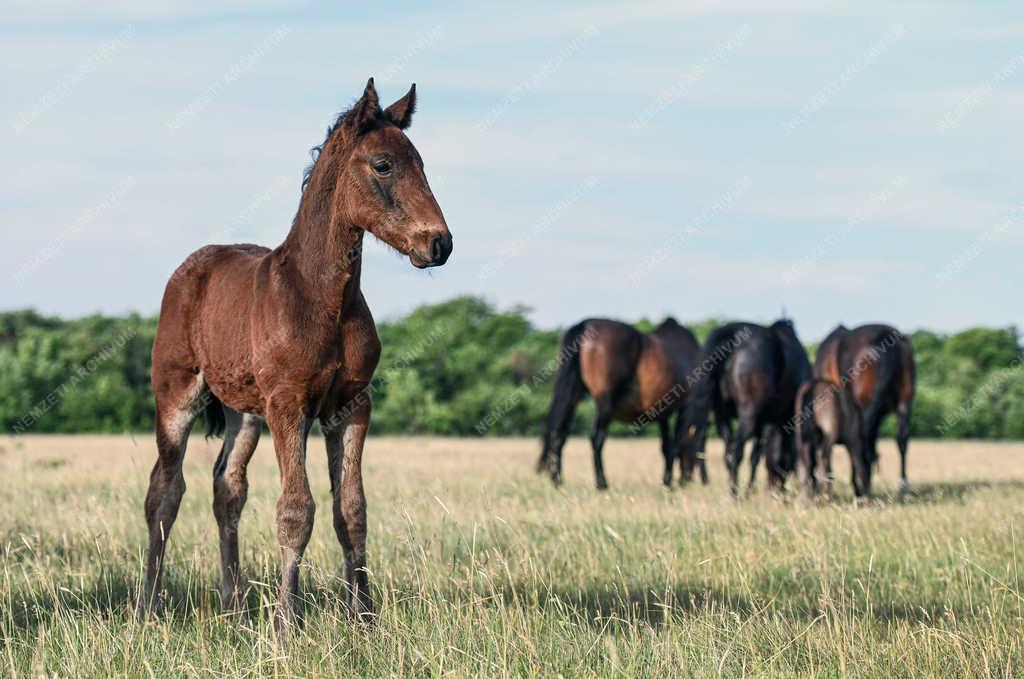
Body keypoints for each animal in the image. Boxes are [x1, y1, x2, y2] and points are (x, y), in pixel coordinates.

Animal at [141, 78, 452, 639]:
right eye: (383, 165)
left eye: (421, 162)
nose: (438, 243)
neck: (322, 296)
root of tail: (191, 267)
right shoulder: (289, 404)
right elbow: (296, 509)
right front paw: (287, 623)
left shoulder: (351, 405)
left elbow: (351, 510)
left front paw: (364, 620)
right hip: (177, 394)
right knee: (164, 490)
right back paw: (148, 606)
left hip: (244, 412)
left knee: (227, 488)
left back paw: (234, 607)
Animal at [536, 317, 704, 489]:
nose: (687, 479)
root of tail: (586, 324)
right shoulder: (681, 407)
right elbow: (675, 443)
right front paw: (668, 481)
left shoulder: (662, 411)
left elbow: (666, 445)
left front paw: (667, 480)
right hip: (604, 401)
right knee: (597, 438)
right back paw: (601, 482)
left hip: (572, 394)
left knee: (559, 432)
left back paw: (557, 479)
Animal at [684, 319, 811, 499]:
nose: (778, 487)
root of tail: (734, 333)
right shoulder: (773, 421)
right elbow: (760, 456)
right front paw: (751, 490)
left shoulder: (764, 423)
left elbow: (758, 456)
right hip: (748, 416)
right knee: (736, 451)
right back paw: (734, 494)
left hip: (722, 415)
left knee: (728, 452)